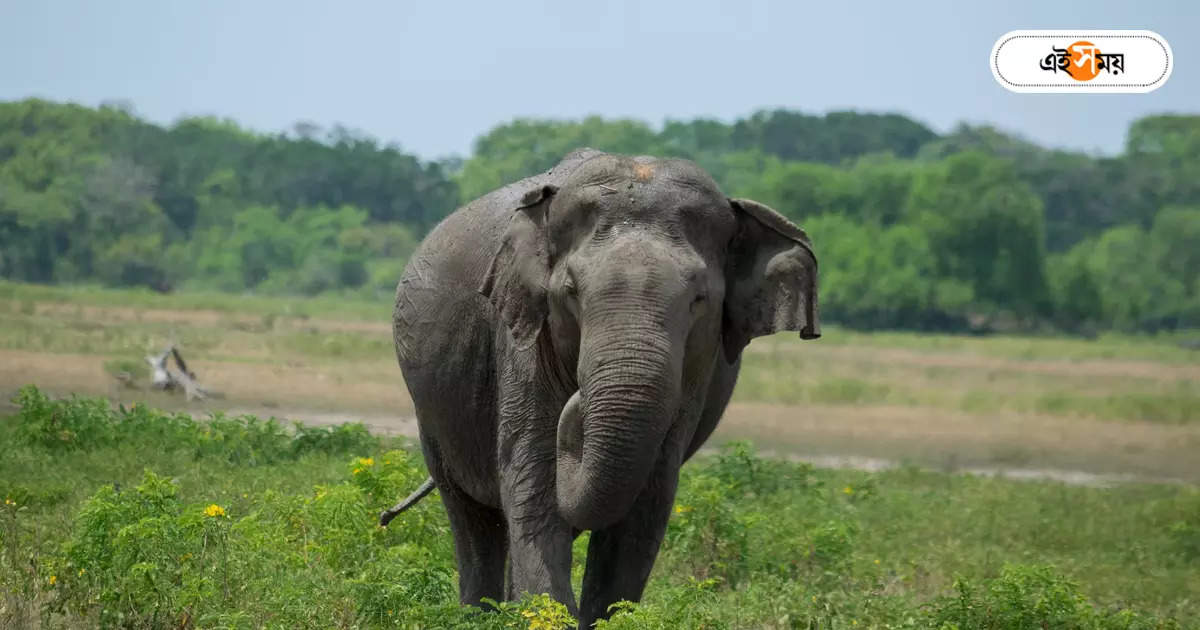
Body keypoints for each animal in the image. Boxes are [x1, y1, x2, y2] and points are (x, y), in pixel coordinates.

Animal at [379, 147, 820, 624]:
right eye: (570, 291)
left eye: (699, 300)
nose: (579, 404)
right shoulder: (522, 335)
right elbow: (534, 480)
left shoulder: (696, 370)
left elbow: (644, 504)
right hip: (433, 412)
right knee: (472, 518)